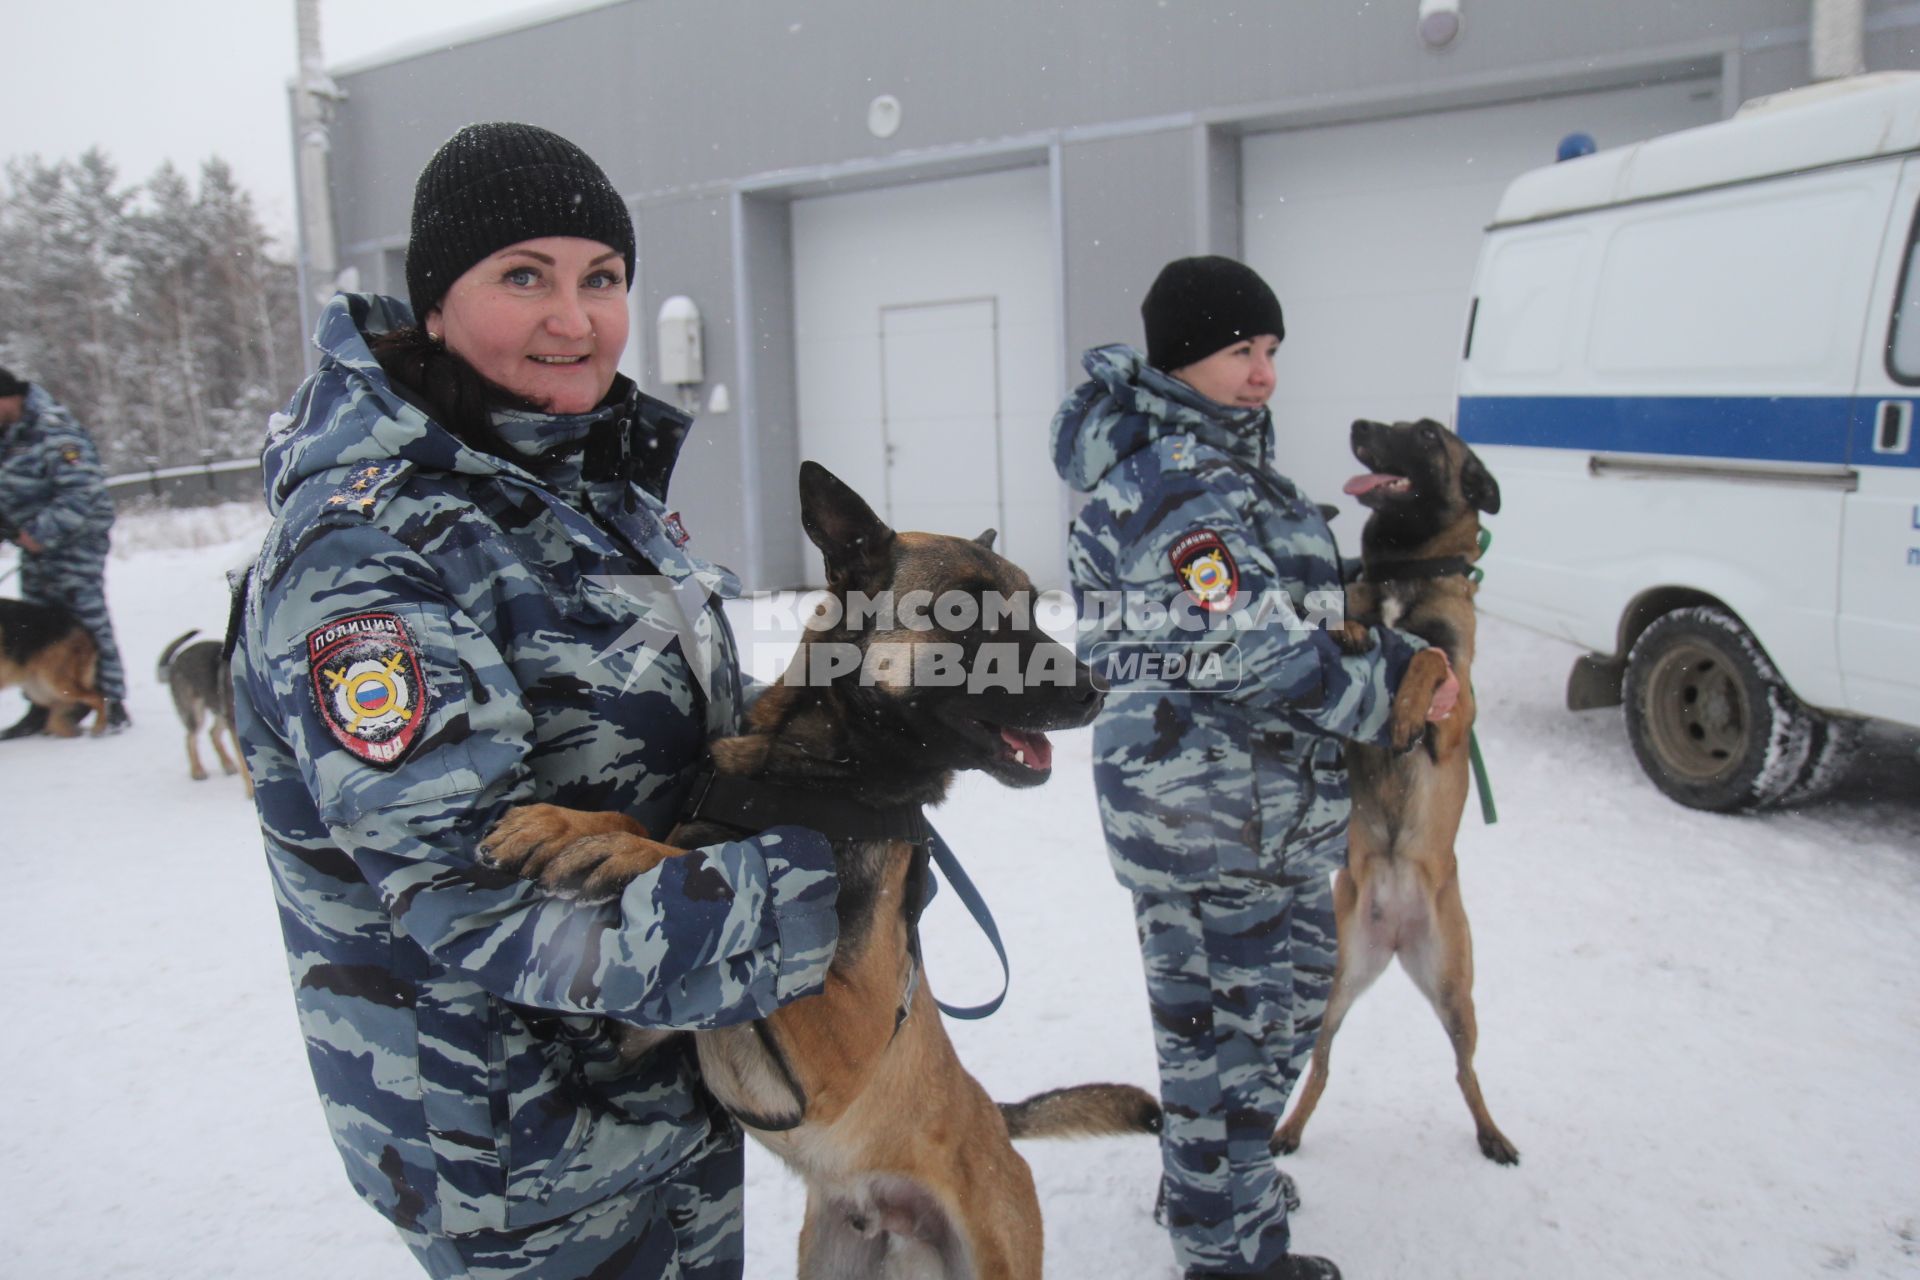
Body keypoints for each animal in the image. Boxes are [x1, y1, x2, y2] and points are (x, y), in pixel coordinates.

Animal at [1274, 422, 1512, 1174]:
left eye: (1428, 435)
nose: (1358, 427)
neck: (1407, 571)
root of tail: (1399, 929)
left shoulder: (1456, 709)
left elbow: (1428, 656)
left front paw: (1405, 710)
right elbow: (1346, 614)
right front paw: (1351, 624)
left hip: (1455, 992)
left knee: (1467, 1072)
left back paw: (1492, 1133)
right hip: (1334, 984)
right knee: (1319, 1066)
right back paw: (1288, 1130)